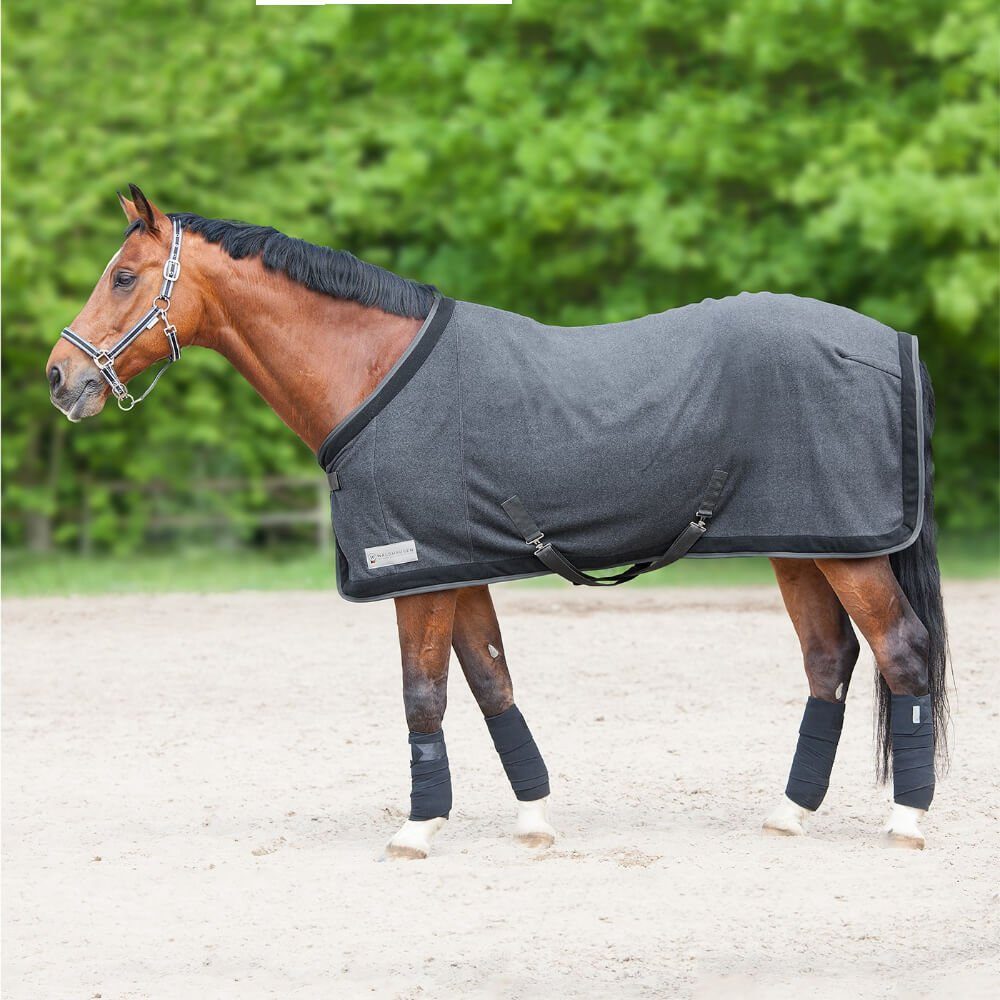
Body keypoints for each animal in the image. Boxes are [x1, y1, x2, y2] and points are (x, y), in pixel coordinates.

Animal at [46, 185, 949, 857]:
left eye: (123, 277)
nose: (59, 378)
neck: (370, 368)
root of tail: (890, 345)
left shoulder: (414, 573)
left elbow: (423, 695)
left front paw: (417, 829)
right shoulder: (457, 564)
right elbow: (489, 681)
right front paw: (534, 819)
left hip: (850, 553)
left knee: (900, 650)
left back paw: (907, 821)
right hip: (803, 546)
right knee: (829, 659)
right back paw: (790, 813)